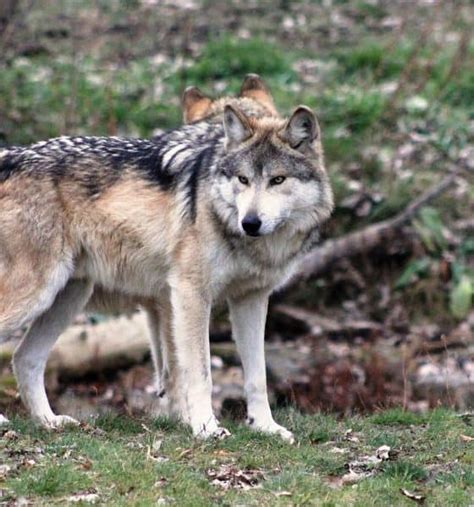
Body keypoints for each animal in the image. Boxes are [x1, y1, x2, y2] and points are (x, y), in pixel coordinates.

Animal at [0, 74, 334, 440]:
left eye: (277, 180)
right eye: (243, 179)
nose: (250, 223)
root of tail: (10, 155)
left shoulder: (250, 299)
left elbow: (255, 375)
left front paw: (265, 427)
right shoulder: (188, 295)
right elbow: (197, 371)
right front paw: (205, 428)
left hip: (68, 298)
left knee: (24, 359)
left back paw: (50, 421)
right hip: (34, 296)